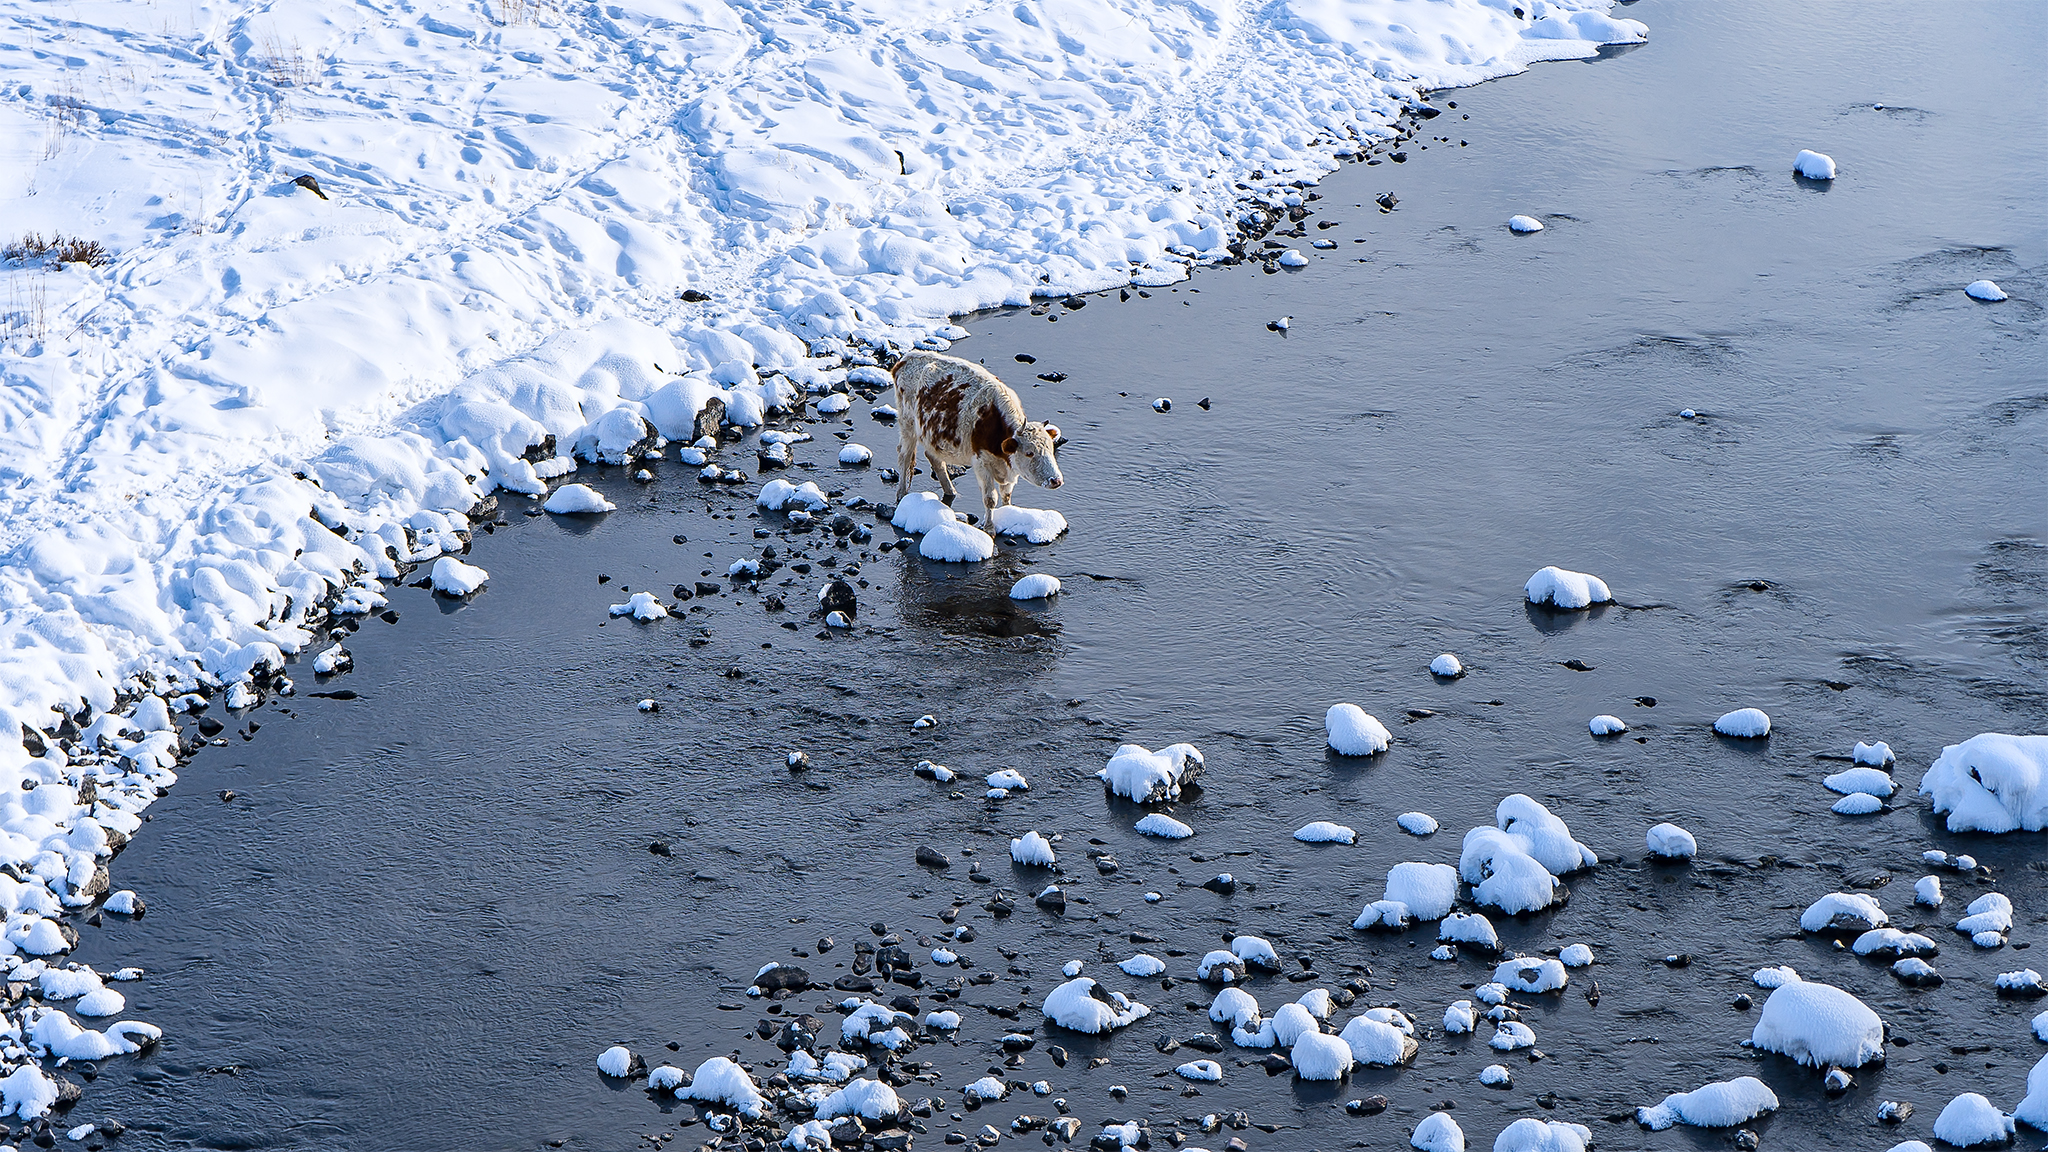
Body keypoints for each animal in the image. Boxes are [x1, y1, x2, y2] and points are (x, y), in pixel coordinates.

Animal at [888, 348, 1064, 522]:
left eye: (1051, 449)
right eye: (1029, 453)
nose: (1055, 480)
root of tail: (907, 358)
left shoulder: (1009, 468)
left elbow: (1006, 495)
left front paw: (1008, 514)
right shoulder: (981, 463)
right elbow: (990, 498)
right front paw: (989, 526)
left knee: (934, 458)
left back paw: (951, 491)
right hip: (907, 424)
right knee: (904, 455)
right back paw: (901, 494)